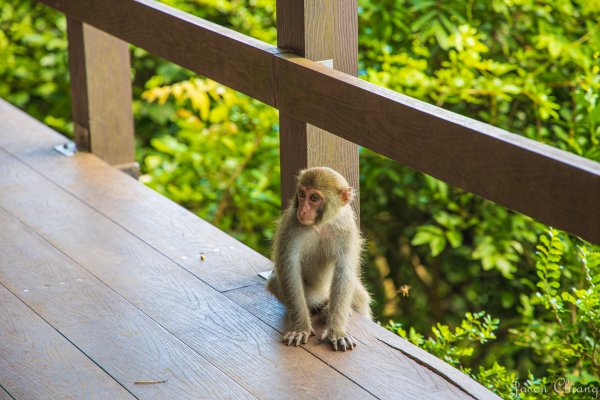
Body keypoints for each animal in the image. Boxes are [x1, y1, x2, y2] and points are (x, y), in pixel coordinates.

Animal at [268, 166, 370, 350]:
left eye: (314, 198)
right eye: (302, 194)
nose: (302, 210)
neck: (321, 225)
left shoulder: (347, 228)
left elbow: (344, 271)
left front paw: (336, 332)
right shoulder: (291, 225)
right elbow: (289, 269)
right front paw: (301, 328)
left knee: (361, 299)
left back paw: (332, 310)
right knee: (275, 281)